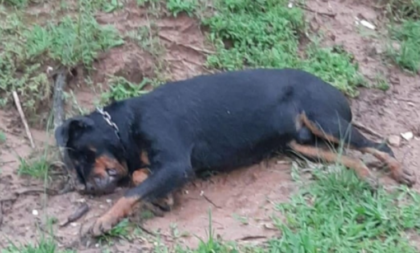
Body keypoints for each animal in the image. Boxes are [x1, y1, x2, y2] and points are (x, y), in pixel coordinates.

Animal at [54, 68, 416, 236]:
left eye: (82, 155)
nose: (85, 188)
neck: (127, 124)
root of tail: (337, 91)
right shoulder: (167, 168)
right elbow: (142, 178)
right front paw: (161, 199)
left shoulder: (176, 164)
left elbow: (130, 192)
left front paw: (100, 221)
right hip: (301, 145)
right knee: (349, 157)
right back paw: (366, 177)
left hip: (326, 122)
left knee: (379, 145)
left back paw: (399, 172)